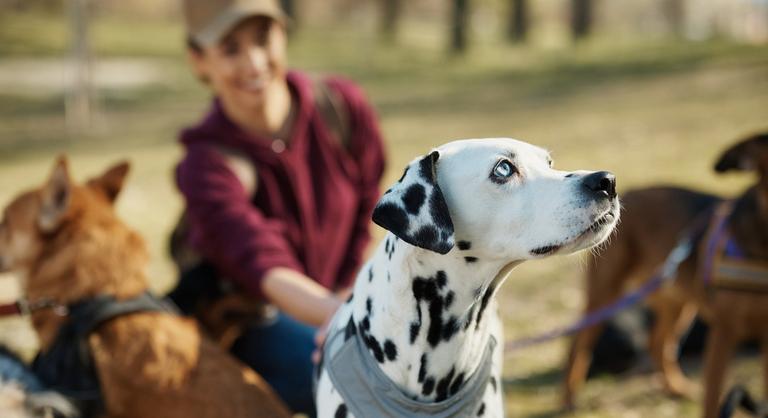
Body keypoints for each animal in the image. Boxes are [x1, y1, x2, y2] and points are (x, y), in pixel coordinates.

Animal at [560, 133, 768, 418]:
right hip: (606, 295)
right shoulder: (723, 332)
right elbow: (713, 396)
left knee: (657, 345)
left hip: (678, 303)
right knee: (578, 346)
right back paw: (569, 399)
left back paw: (676, 388)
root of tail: (630, 192)